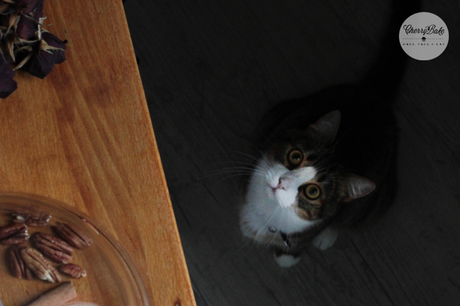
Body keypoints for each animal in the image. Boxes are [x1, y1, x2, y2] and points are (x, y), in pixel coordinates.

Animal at [239, 0, 418, 268]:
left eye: (313, 192)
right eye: (295, 156)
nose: (281, 182)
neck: (268, 209)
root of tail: (373, 97)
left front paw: (288, 256)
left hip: (380, 197)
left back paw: (328, 235)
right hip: (278, 112)